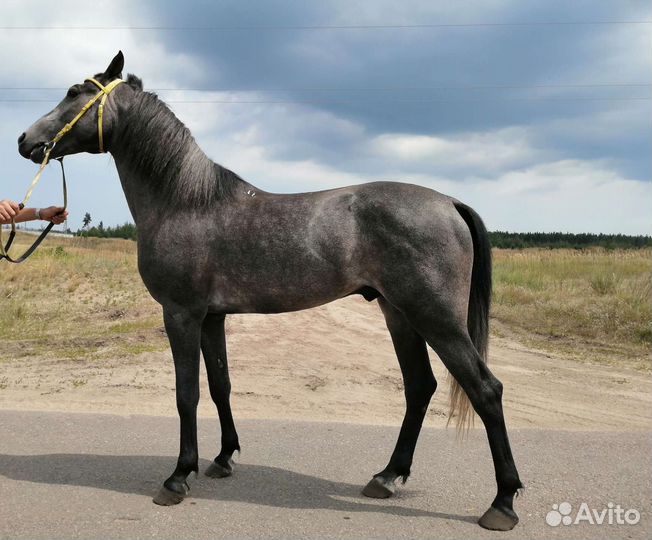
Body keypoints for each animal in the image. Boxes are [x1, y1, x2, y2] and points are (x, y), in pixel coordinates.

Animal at [17, 52, 523, 531]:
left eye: (74, 92)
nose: (25, 141)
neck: (186, 202)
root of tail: (449, 203)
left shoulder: (181, 314)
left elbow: (186, 393)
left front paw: (178, 477)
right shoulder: (211, 317)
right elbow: (220, 385)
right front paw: (223, 459)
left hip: (435, 317)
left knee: (485, 389)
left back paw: (502, 503)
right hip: (399, 314)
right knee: (420, 387)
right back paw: (386, 477)